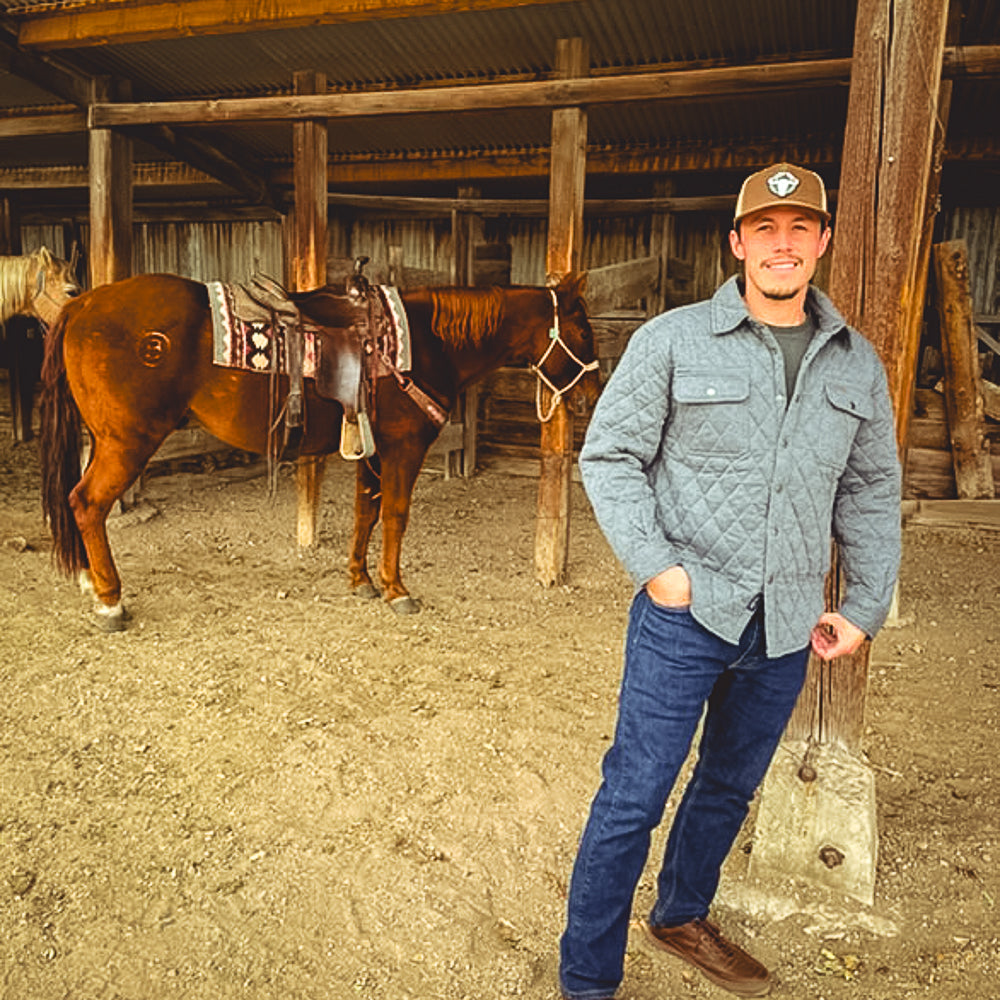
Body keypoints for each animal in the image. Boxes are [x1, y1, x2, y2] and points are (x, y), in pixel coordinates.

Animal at [39, 270, 596, 628]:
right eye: (583, 328)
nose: (591, 390)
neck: (424, 342)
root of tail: (82, 304)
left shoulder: (373, 450)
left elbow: (365, 513)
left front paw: (360, 580)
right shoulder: (404, 447)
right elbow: (395, 515)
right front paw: (397, 590)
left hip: (106, 439)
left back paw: (91, 581)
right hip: (127, 441)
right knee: (87, 503)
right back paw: (110, 601)